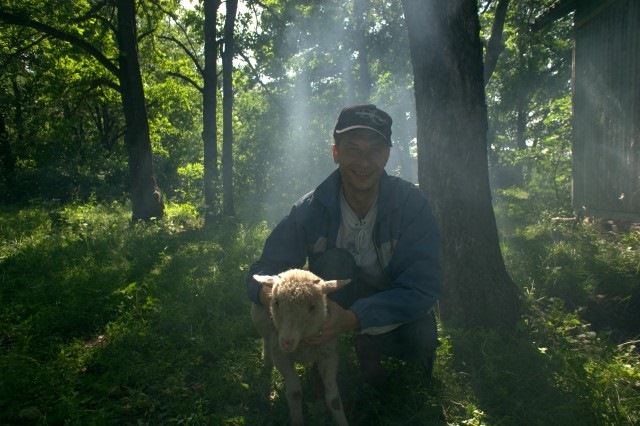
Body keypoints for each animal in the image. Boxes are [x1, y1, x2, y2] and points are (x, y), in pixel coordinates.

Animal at [250, 270, 350, 426]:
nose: (286, 341)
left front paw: (342, 421)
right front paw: (297, 420)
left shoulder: (329, 357)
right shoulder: (281, 356)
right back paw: (266, 367)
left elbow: (334, 399)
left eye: (312, 307)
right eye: (276, 302)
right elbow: (295, 394)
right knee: (266, 344)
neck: (303, 343)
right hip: (264, 330)